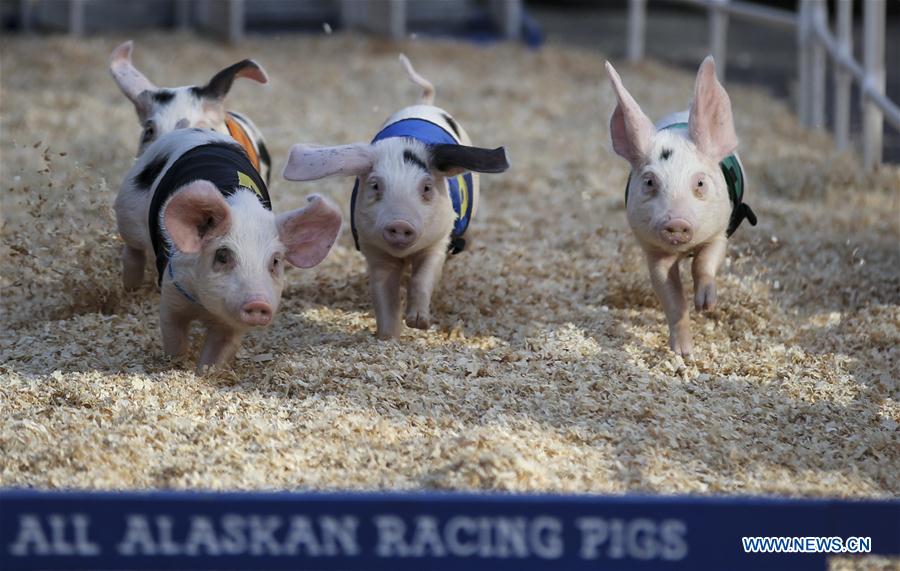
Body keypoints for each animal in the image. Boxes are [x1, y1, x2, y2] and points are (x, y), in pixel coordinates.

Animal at [115, 128, 342, 370]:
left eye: (275, 261)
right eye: (223, 255)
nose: (258, 302)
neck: (204, 307)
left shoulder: (232, 326)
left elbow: (218, 354)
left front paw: (205, 372)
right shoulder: (172, 290)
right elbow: (173, 335)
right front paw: (176, 365)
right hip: (127, 209)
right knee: (132, 248)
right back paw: (130, 286)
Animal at [282, 54, 510, 339]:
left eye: (426, 188)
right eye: (376, 185)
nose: (400, 223)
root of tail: (425, 103)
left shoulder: (439, 240)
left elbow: (423, 277)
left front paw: (418, 323)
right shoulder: (373, 248)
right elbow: (384, 293)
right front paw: (388, 336)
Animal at [605, 56, 757, 356]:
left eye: (699, 183)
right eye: (649, 181)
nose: (676, 221)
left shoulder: (720, 230)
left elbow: (704, 263)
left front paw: (706, 306)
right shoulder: (654, 252)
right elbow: (672, 297)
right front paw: (684, 353)